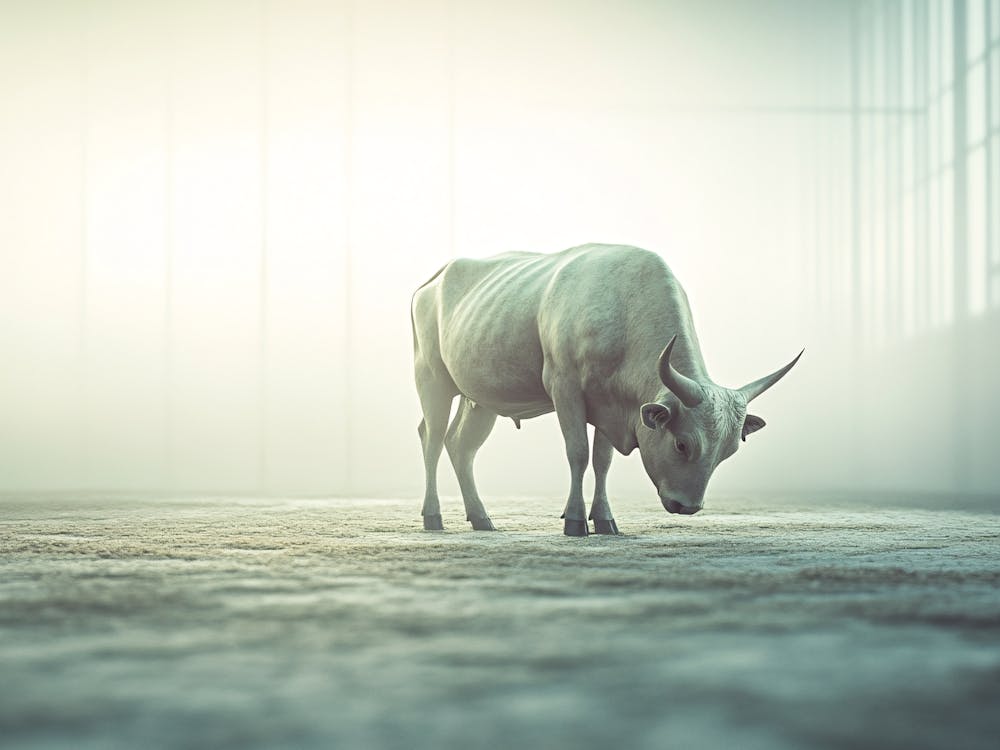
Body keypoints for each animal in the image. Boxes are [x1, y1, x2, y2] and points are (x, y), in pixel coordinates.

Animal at [411, 244, 802, 535]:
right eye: (682, 444)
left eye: (729, 451)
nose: (687, 506)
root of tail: (435, 278)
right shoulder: (565, 388)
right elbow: (578, 453)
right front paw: (574, 521)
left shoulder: (611, 404)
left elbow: (602, 461)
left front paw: (604, 520)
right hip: (431, 379)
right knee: (432, 440)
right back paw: (433, 517)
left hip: (480, 397)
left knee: (460, 446)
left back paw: (481, 518)